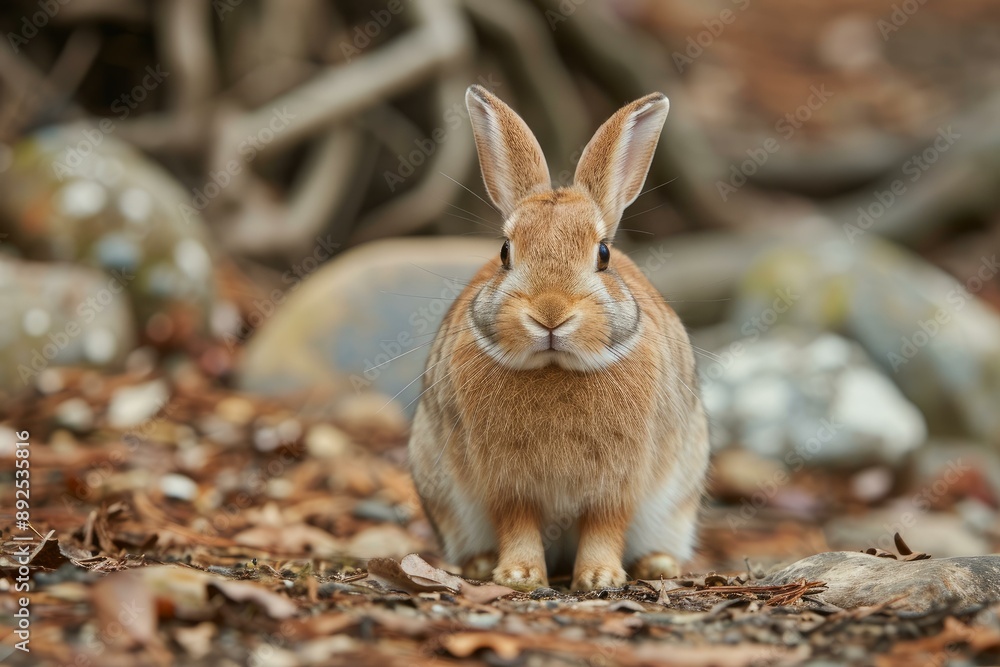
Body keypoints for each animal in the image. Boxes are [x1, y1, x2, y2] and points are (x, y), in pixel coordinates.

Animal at [408, 84, 709, 592]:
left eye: (604, 254)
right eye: (504, 252)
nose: (550, 314)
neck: (554, 367)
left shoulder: (618, 484)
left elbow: (605, 524)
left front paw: (600, 578)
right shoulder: (505, 483)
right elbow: (517, 521)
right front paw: (519, 575)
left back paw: (657, 565)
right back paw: (482, 565)